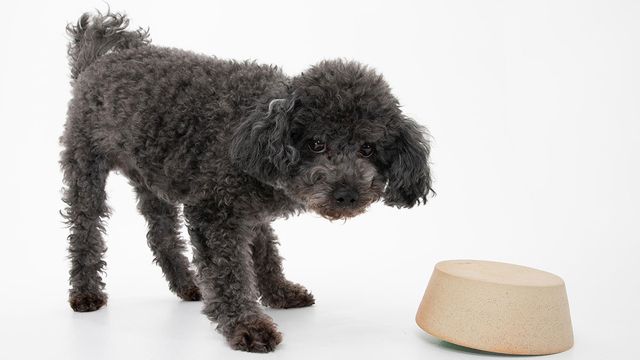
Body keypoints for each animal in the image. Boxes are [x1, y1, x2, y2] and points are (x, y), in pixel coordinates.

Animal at [60, 10, 432, 352]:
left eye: (368, 147)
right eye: (317, 143)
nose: (347, 194)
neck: (257, 129)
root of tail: (96, 61)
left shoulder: (249, 211)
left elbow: (265, 254)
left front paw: (279, 291)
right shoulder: (215, 212)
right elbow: (230, 273)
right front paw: (247, 326)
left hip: (152, 178)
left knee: (160, 235)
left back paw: (187, 285)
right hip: (85, 167)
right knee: (85, 231)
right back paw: (86, 292)